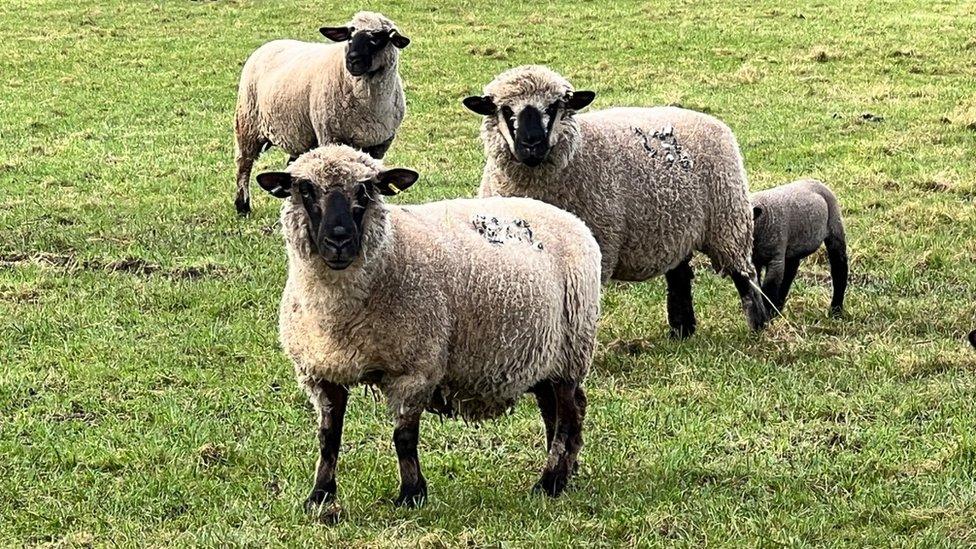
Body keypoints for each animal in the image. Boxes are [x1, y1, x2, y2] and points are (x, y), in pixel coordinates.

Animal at [234, 10, 410, 215]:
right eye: (350, 35)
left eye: (378, 38)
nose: (352, 60)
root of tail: (271, 43)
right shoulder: (330, 135)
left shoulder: (380, 144)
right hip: (248, 122)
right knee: (244, 164)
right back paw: (242, 206)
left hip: (302, 133)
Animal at [255, 143, 600, 508]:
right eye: (305, 189)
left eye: (365, 190)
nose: (339, 241)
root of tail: (573, 221)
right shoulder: (322, 372)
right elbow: (328, 437)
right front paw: (320, 495)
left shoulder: (415, 369)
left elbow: (404, 436)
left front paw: (411, 493)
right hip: (544, 356)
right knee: (557, 411)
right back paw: (566, 473)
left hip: (572, 350)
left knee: (567, 415)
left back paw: (550, 480)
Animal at [466, 65, 772, 338]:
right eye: (505, 110)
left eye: (554, 107)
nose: (532, 144)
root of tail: (713, 122)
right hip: (678, 225)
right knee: (680, 276)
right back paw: (681, 332)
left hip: (729, 220)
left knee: (745, 276)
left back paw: (757, 326)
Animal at [752, 180, 852, 316]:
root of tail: (815, 180)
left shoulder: (776, 258)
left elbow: (769, 287)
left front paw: (768, 314)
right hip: (794, 247)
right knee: (790, 273)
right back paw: (779, 306)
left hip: (835, 226)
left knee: (839, 267)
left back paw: (836, 309)